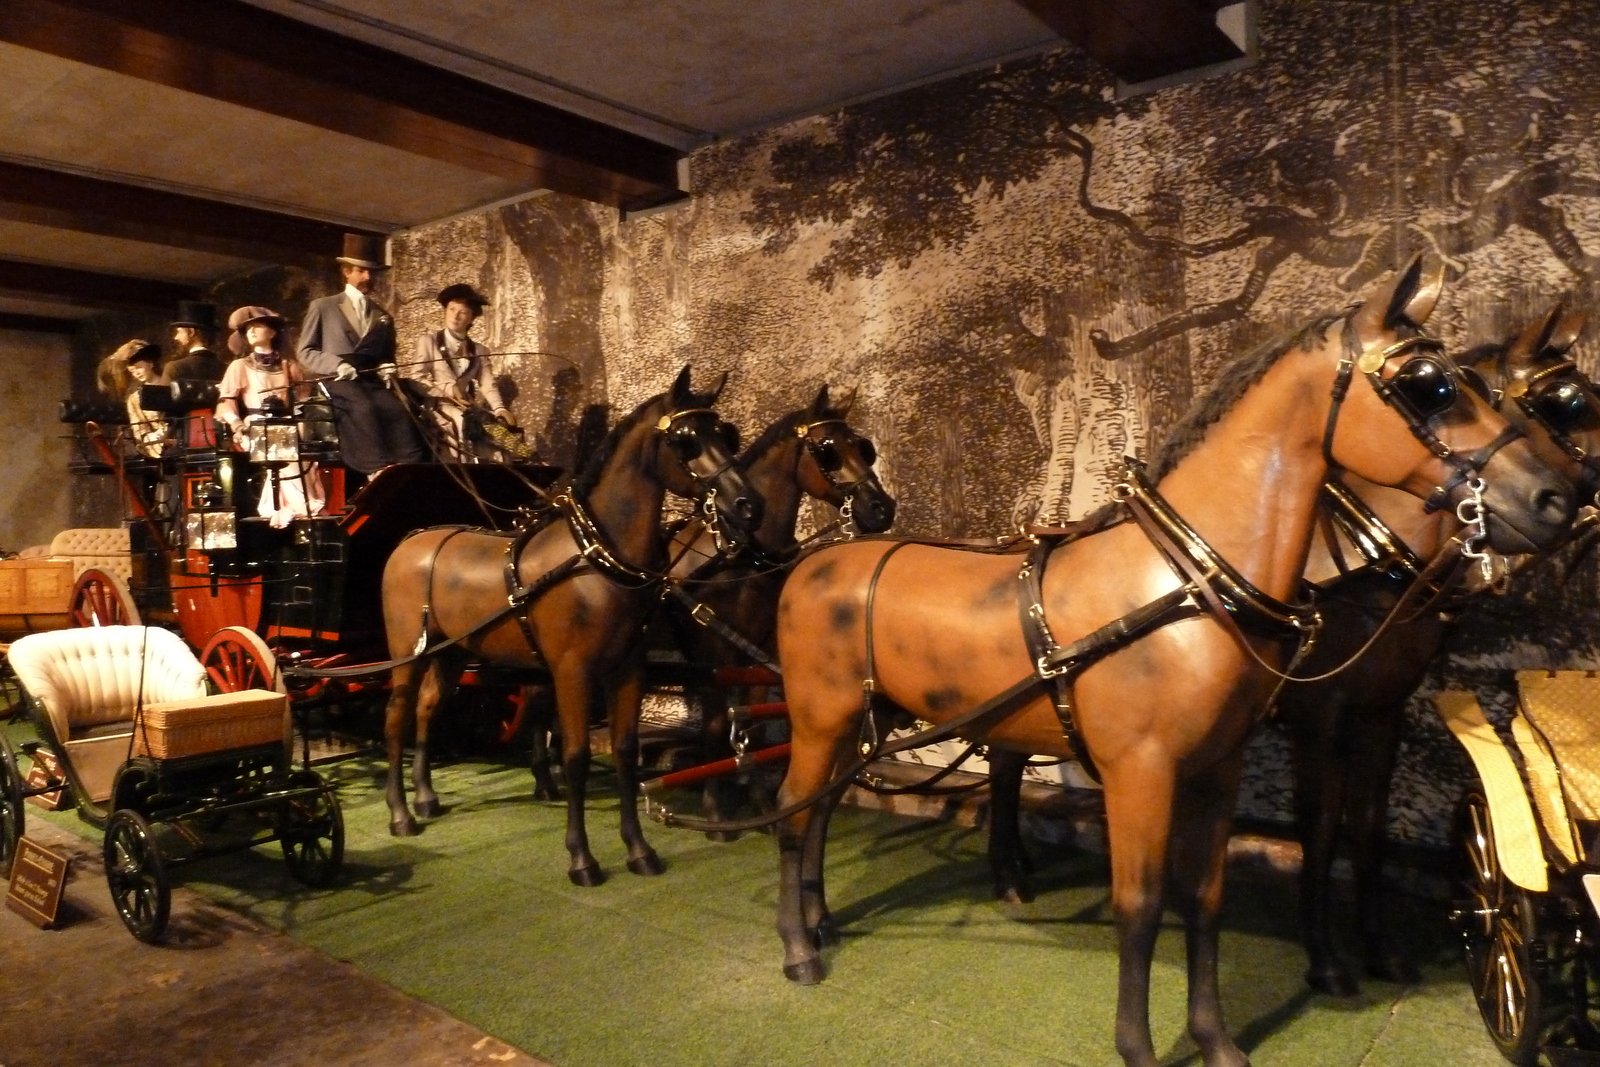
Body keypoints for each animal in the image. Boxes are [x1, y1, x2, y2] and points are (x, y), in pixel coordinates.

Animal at [384, 367, 764, 883]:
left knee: (427, 709)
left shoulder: (628, 670)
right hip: (409, 654)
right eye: (685, 440)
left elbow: (624, 750)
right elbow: (576, 756)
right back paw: (400, 814)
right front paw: (581, 858)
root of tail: (411, 541)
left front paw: (639, 850)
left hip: (451, 654)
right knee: (397, 718)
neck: (597, 560)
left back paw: (425, 798)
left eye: (726, 434)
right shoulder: (571, 673)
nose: (748, 505)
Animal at [764, 260, 1574, 1067]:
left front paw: (1216, 1038)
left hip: (858, 723)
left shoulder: (1223, 764)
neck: (1188, 585)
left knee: (821, 810)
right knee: (791, 812)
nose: (1554, 497)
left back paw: (824, 917)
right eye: (1428, 383)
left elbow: (1205, 897)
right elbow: (1143, 905)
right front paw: (1141, 1044)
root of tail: (814, 564)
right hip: (818, 718)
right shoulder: (1143, 771)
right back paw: (800, 949)